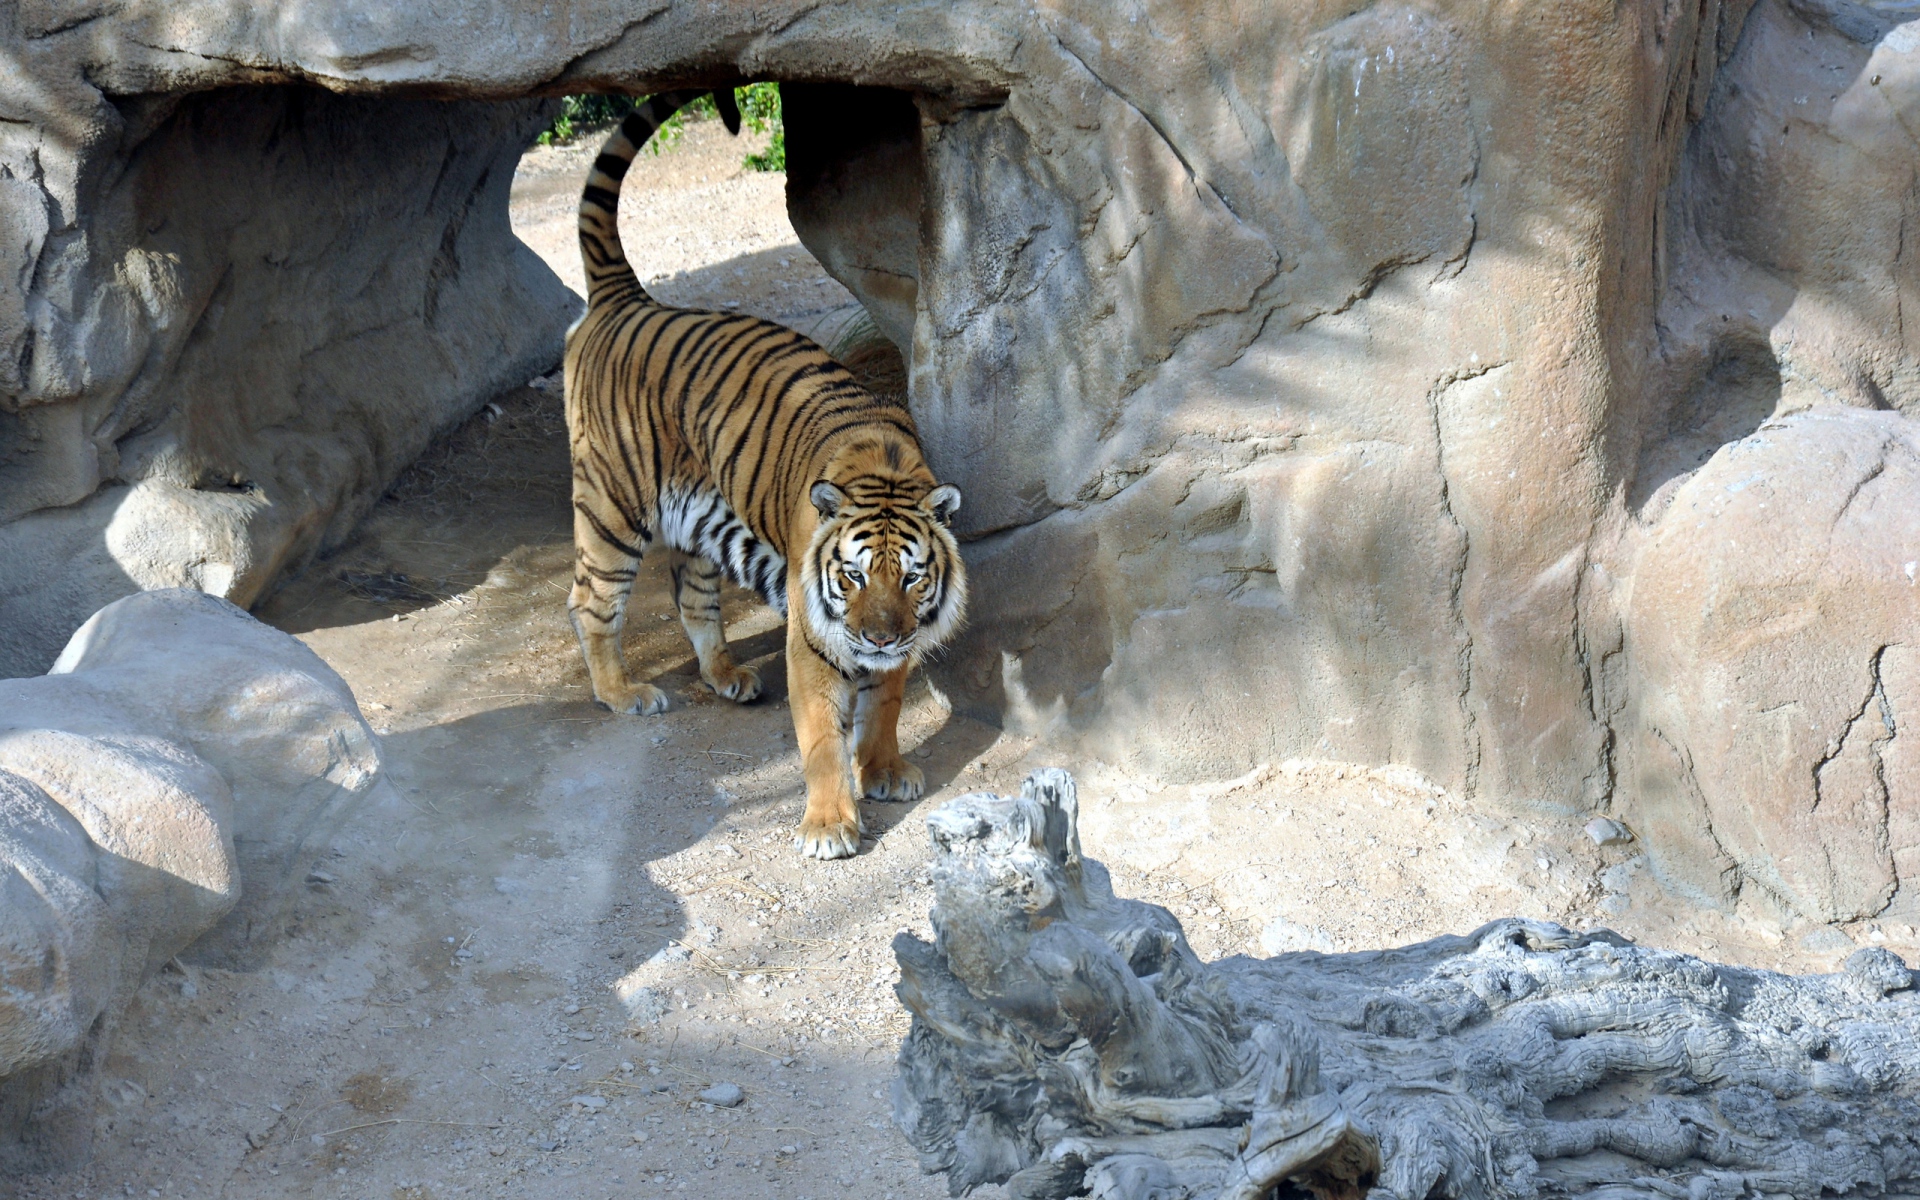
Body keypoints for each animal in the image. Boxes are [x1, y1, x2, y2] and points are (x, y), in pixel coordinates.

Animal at [564, 89, 968, 861]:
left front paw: (886, 770)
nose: (878, 638)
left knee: (693, 598)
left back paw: (727, 676)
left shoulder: (899, 642)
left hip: (698, 518)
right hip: (611, 507)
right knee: (591, 602)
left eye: (911, 577)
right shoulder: (812, 640)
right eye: (851, 575)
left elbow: (884, 706)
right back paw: (623, 693)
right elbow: (821, 737)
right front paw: (829, 824)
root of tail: (627, 299)